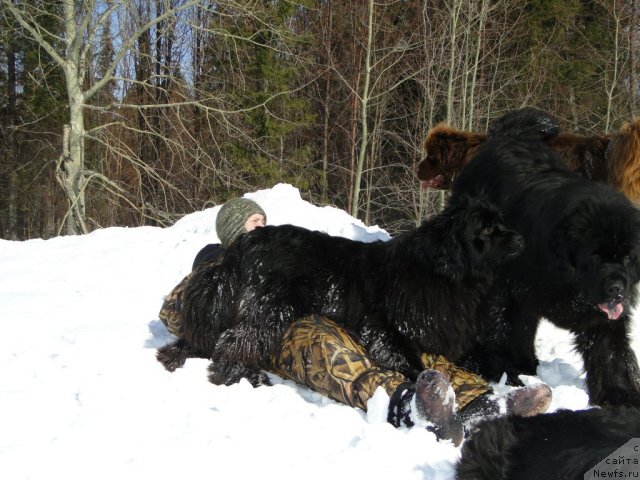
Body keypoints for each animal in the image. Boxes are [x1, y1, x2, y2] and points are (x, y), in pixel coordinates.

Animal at [171, 193, 524, 384]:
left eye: (501, 221)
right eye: (487, 229)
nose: (521, 237)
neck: (445, 274)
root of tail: (246, 243)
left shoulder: (455, 334)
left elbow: (486, 355)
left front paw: (516, 377)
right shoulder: (383, 326)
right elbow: (409, 360)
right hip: (274, 307)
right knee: (235, 340)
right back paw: (242, 376)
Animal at [452, 109, 640, 404]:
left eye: (629, 257)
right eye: (595, 257)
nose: (616, 289)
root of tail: (506, 137)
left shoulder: (604, 317)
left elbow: (611, 351)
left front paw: (619, 395)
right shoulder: (505, 288)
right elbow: (501, 328)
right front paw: (505, 371)